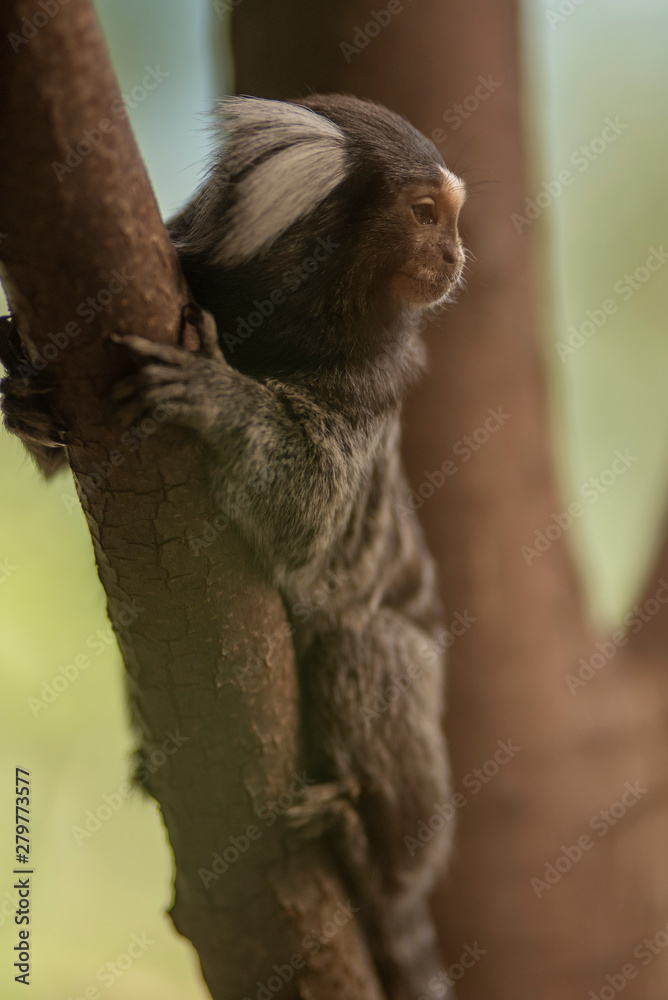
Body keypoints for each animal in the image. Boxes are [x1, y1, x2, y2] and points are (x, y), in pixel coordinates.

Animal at [0, 94, 466, 999]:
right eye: (426, 215)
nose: (457, 255)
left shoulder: (370, 387)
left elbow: (310, 512)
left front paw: (220, 399)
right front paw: (27, 397)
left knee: (364, 646)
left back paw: (370, 847)